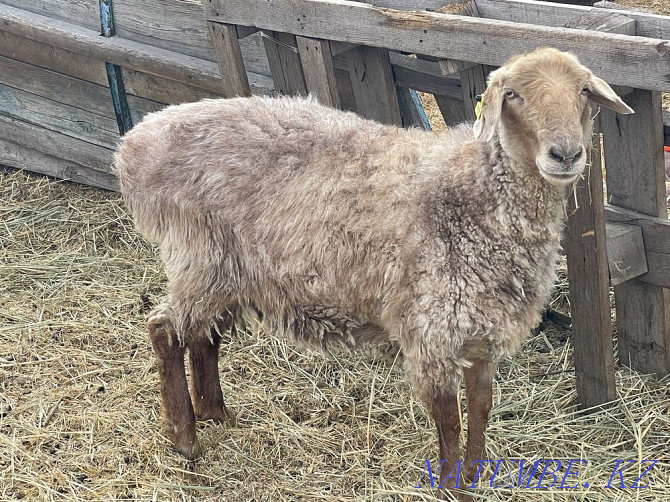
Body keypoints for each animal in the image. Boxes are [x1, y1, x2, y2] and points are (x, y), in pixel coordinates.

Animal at [115, 48, 636, 498]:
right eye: (513, 95)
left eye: (584, 91)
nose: (565, 155)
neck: (474, 194)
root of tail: (135, 144)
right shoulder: (431, 330)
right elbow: (449, 419)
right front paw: (449, 486)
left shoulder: (481, 333)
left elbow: (481, 409)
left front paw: (473, 477)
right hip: (201, 254)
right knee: (165, 329)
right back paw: (184, 436)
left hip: (226, 268)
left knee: (202, 336)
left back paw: (215, 414)